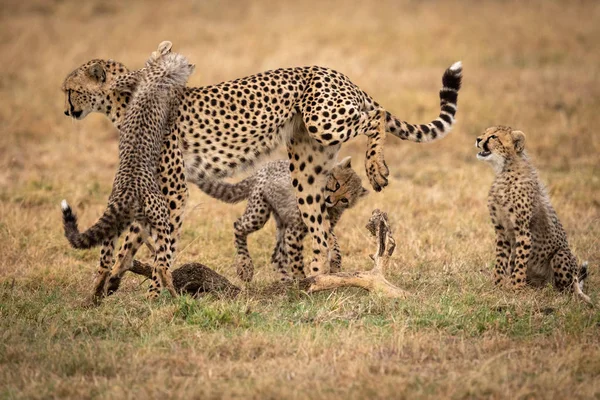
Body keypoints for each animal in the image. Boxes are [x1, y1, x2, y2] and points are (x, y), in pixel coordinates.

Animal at [60, 43, 193, 300]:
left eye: (71, 91)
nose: (66, 112)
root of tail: (130, 190)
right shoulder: (175, 194)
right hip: (157, 212)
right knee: (161, 261)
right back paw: (166, 294)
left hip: (121, 220)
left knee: (106, 259)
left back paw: (96, 295)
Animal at [62, 50, 464, 278]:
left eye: (70, 89)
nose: (66, 111)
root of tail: (335, 72)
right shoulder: (153, 187)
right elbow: (130, 235)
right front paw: (107, 283)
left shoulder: (173, 189)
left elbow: (160, 239)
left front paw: (155, 291)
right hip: (307, 166)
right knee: (318, 229)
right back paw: (317, 280)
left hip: (324, 120)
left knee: (376, 115)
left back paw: (376, 168)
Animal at [478, 126, 592, 304]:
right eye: (484, 133)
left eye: (493, 137)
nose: (478, 139)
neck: (504, 170)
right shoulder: (501, 231)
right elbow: (500, 261)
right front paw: (497, 286)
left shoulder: (523, 231)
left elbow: (520, 264)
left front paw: (516, 289)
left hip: (561, 255)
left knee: (567, 289)